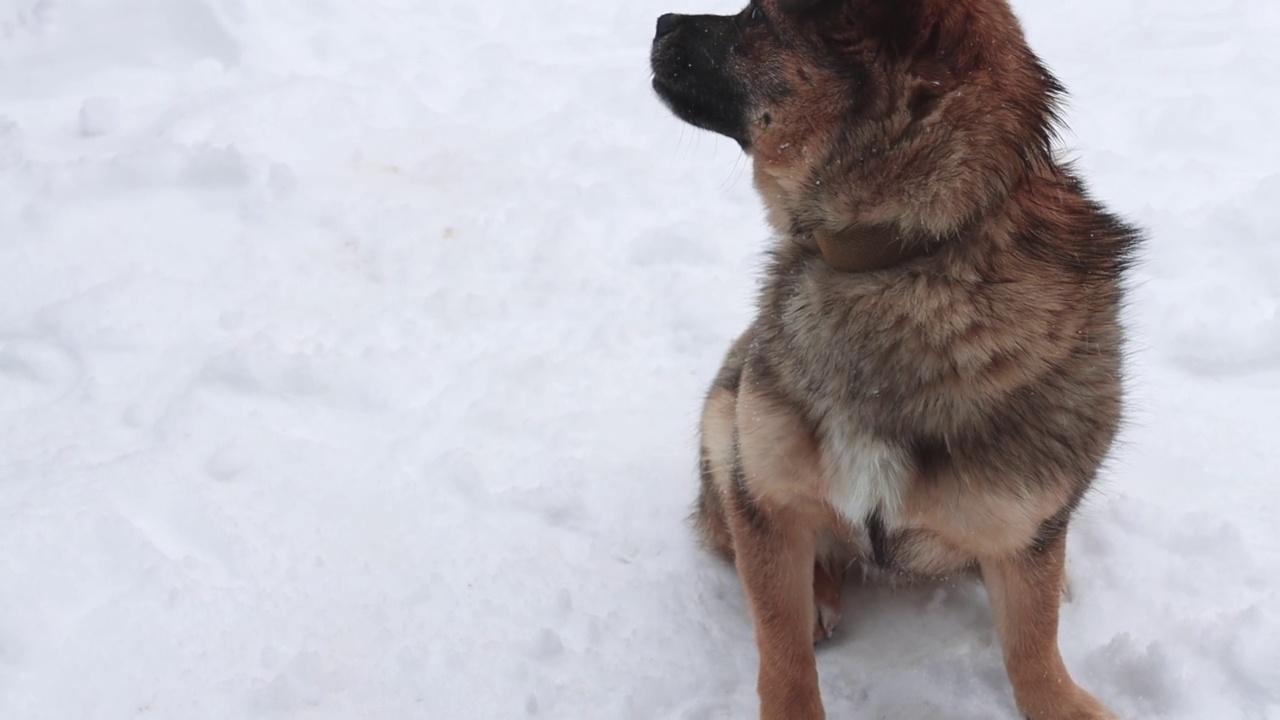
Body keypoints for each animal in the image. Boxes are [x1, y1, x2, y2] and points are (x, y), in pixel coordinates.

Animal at [650, 1, 1141, 717]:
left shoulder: (1023, 526)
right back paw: (818, 595)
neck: (910, 251)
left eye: (757, 18)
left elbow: (1032, 645)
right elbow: (782, 649)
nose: (659, 22)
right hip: (729, 423)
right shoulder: (767, 495)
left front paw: (1061, 698)